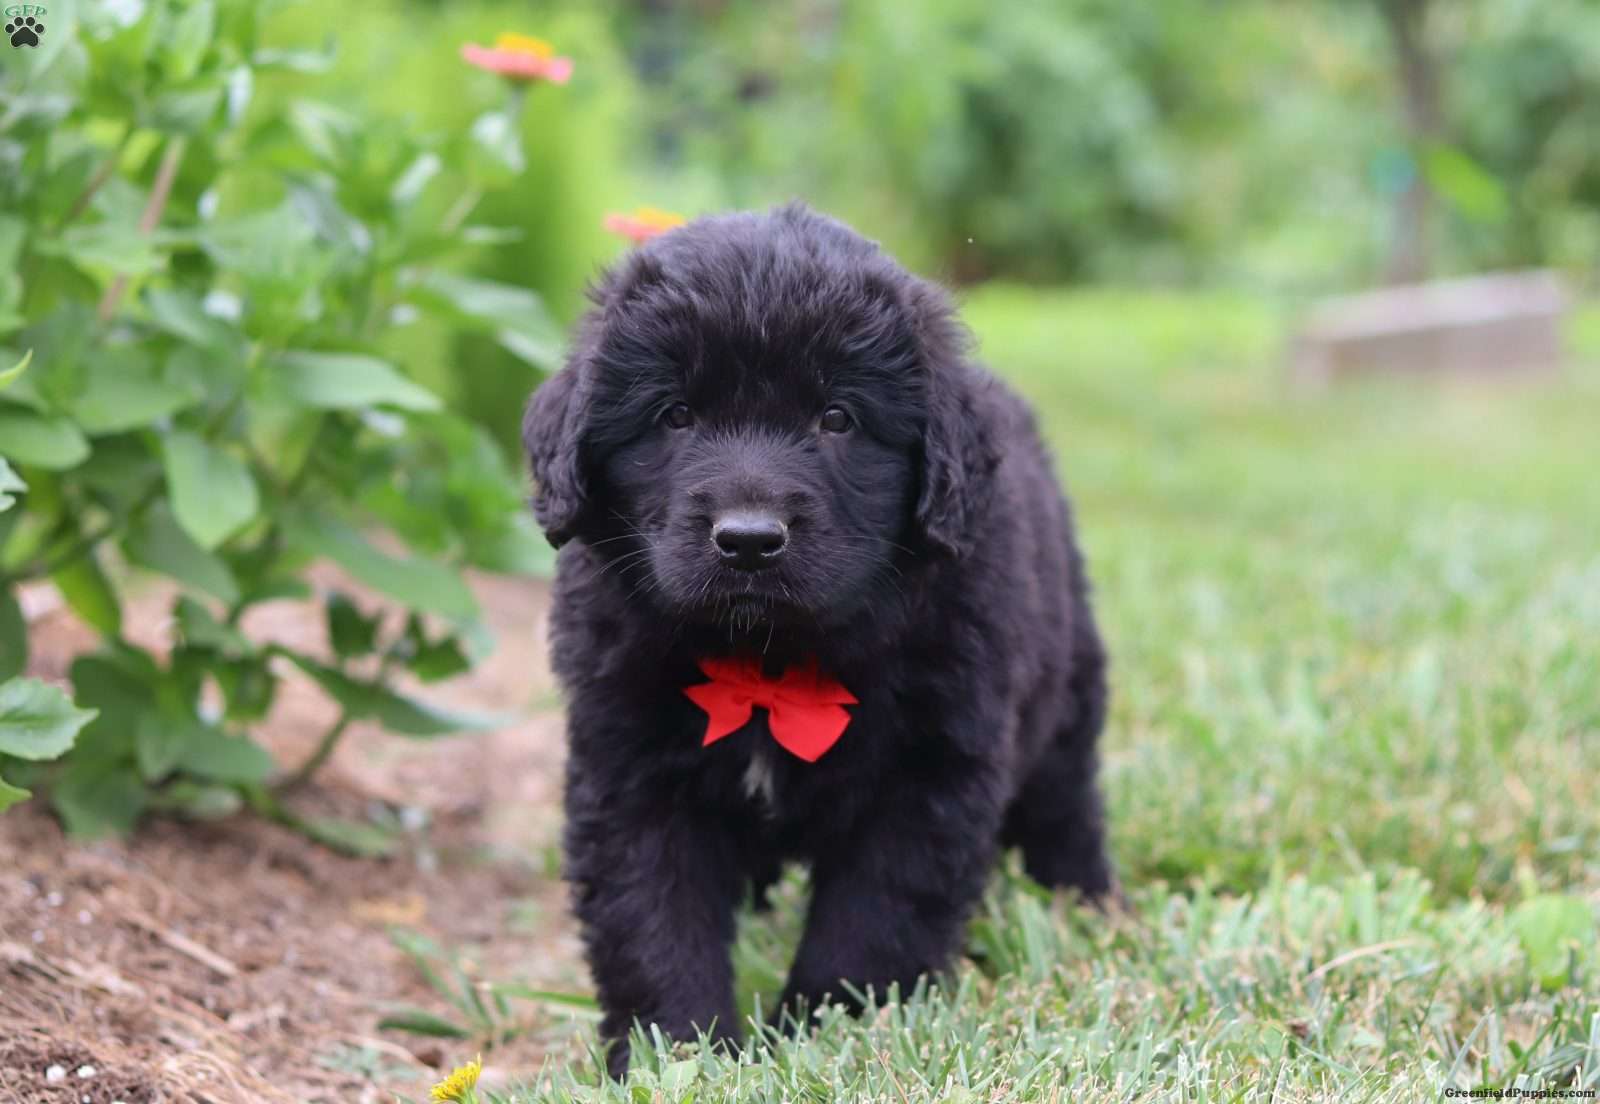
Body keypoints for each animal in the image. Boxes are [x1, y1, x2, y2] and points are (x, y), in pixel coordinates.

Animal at [524, 202, 1113, 1068]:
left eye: (837, 418)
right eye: (676, 415)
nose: (747, 540)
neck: (768, 661)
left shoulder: (928, 774)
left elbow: (872, 922)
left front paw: (827, 1034)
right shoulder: (629, 770)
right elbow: (654, 917)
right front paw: (679, 1050)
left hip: (1067, 691)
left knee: (1066, 802)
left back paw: (1088, 903)